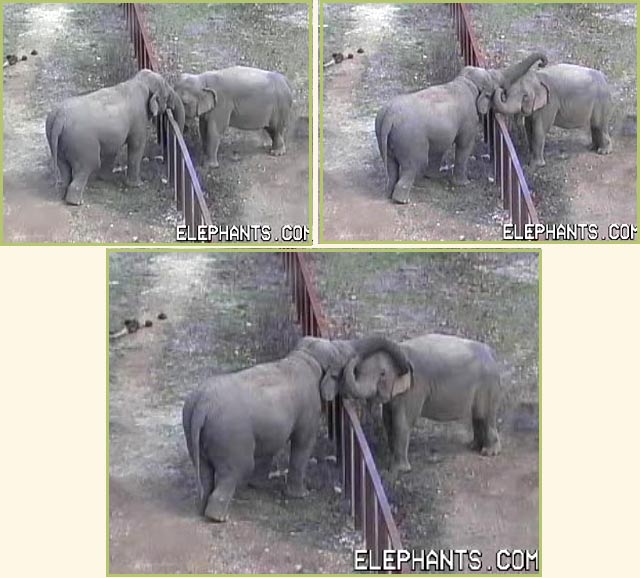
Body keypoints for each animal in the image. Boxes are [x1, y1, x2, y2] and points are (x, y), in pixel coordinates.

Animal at [44, 68, 185, 206]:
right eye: (166, 95)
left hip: (56, 141)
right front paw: (137, 185)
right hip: (82, 143)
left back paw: (64, 195)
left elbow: (112, 149)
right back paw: (77, 202)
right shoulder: (139, 118)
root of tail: (60, 117)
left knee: (64, 168)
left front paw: (106, 178)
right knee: (88, 165)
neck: (138, 81)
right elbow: (137, 145)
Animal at [182, 330, 408, 520]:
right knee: (236, 470)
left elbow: (271, 446)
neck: (305, 357)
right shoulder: (309, 408)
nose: (404, 369)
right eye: (344, 362)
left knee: (205, 472)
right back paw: (218, 517)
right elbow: (303, 442)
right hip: (231, 438)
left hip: (194, 432)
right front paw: (301, 495)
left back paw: (203, 507)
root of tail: (202, 406)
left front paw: (259, 485)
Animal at [342, 330, 502, 480]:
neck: (403, 350)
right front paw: (391, 460)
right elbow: (387, 420)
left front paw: (399, 470)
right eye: (358, 371)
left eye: (382, 374)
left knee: (486, 416)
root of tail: (493, 354)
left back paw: (488, 453)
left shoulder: (416, 388)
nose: (354, 356)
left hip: (488, 386)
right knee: (478, 417)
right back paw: (473, 446)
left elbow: (402, 423)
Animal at [372, 51, 548, 204]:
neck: (466, 82)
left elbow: (439, 148)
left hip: (385, 137)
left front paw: (432, 177)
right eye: (494, 85)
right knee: (413, 166)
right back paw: (402, 200)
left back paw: (389, 193)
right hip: (410, 141)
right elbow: (465, 145)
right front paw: (464, 183)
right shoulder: (469, 119)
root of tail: (388, 117)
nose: (542, 63)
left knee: (392, 167)